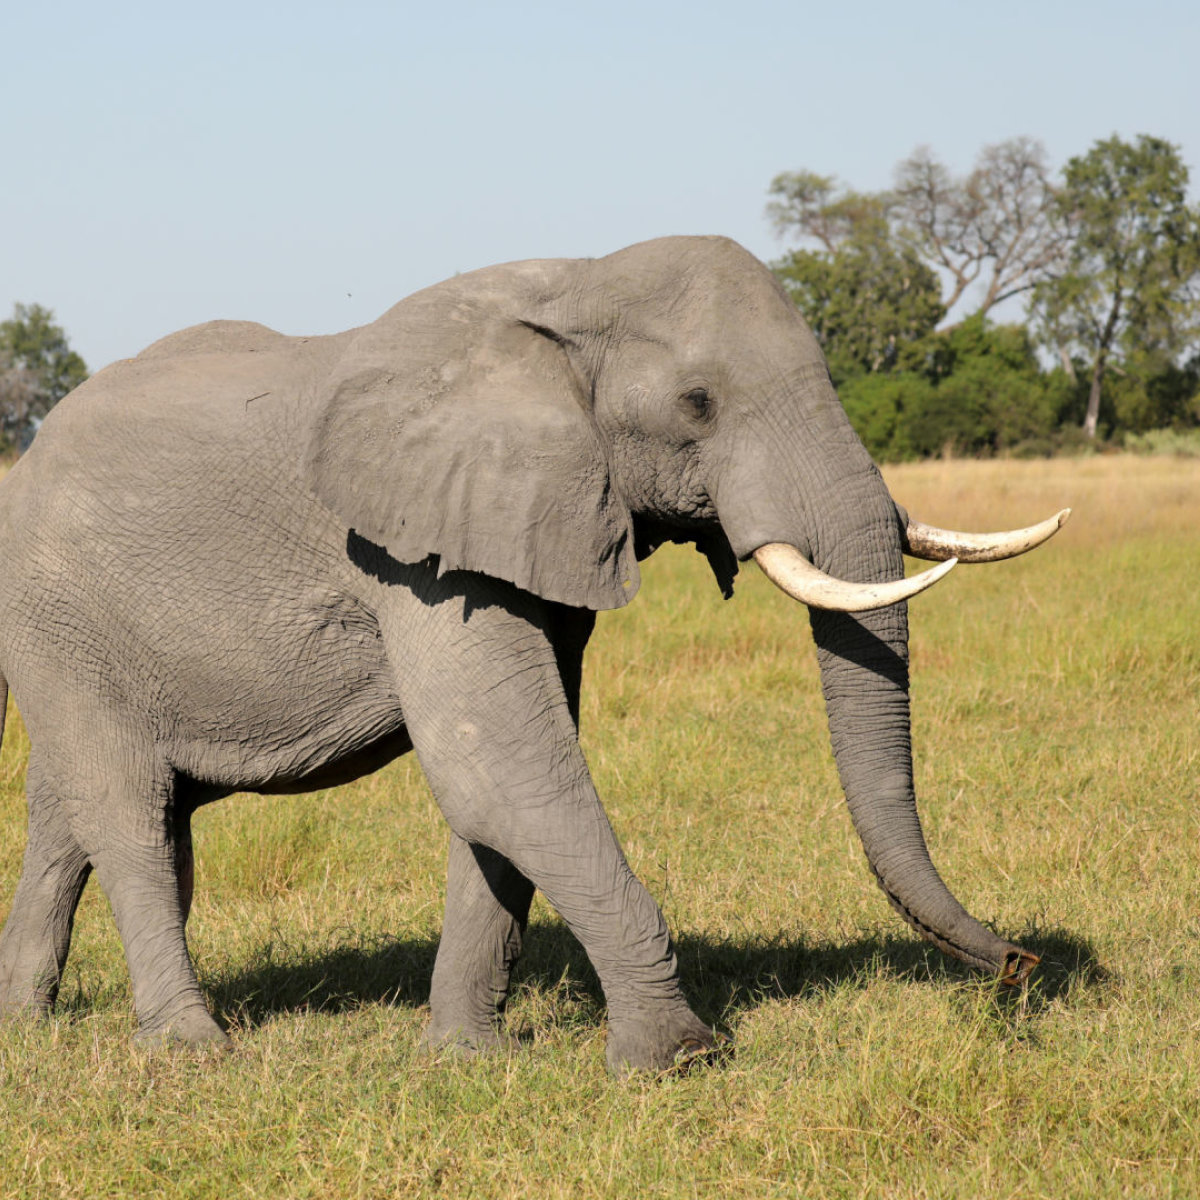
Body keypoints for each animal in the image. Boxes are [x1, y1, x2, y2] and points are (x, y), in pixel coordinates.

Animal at [0, 234, 1070, 1070]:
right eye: (698, 402)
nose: (1023, 968)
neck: (575, 288)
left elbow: (506, 789)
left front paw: (462, 1058)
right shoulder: (414, 552)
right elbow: (499, 767)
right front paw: (677, 1059)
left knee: (78, 815)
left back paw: (24, 1028)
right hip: (57, 618)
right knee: (129, 814)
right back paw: (192, 1051)